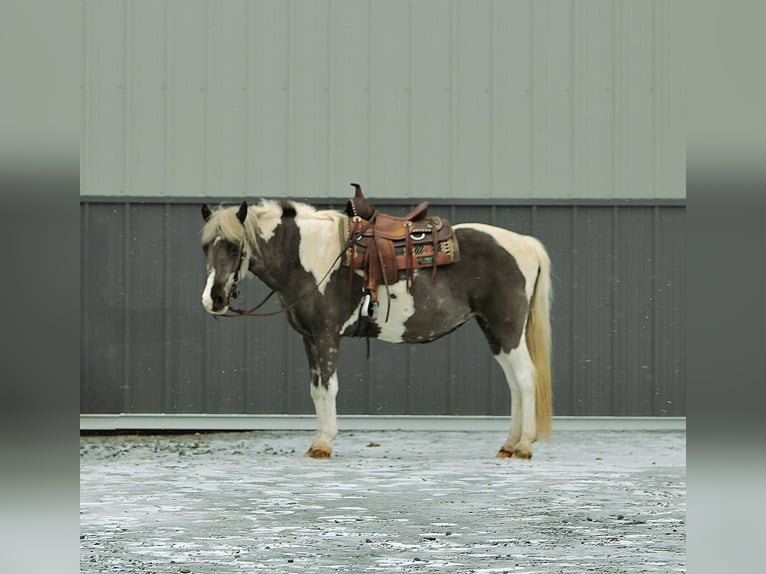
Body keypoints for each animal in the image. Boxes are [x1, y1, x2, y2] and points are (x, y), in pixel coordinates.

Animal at [200, 197, 553, 459]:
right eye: (206, 247)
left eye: (234, 246)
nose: (213, 299)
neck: (309, 257)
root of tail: (525, 244)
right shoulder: (309, 338)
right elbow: (316, 389)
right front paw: (318, 440)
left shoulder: (327, 334)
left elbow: (329, 387)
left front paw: (323, 444)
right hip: (494, 331)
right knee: (514, 384)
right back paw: (508, 445)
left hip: (507, 327)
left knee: (525, 378)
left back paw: (523, 446)